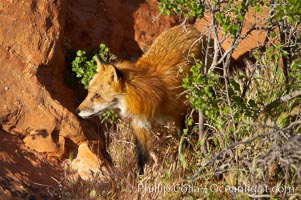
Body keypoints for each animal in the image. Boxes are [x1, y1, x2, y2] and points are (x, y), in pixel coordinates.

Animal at [77, 23, 204, 173]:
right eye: (89, 92)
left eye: (97, 96)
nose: (77, 110)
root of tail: (187, 26)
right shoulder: (140, 123)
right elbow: (141, 156)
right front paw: (140, 175)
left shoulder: (179, 113)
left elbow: (182, 141)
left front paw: (184, 161)